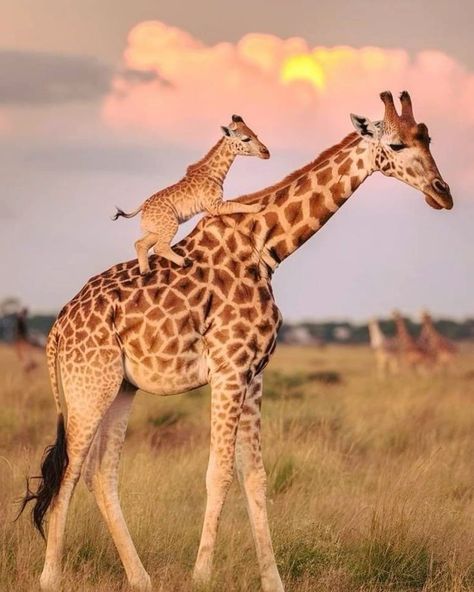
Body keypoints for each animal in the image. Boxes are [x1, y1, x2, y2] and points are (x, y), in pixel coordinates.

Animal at [114, 114, 270, 274]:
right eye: (245, 139)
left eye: (256, 135)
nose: (266, 152)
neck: (213, 173)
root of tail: (143, 207)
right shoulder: (214, 205)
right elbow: (235, 204)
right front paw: (258, 207)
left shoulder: (212, 207)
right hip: (170, 224)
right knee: (159, 247)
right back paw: (184, 262)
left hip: (154, 230)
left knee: (140, 243)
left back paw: (145, 271)